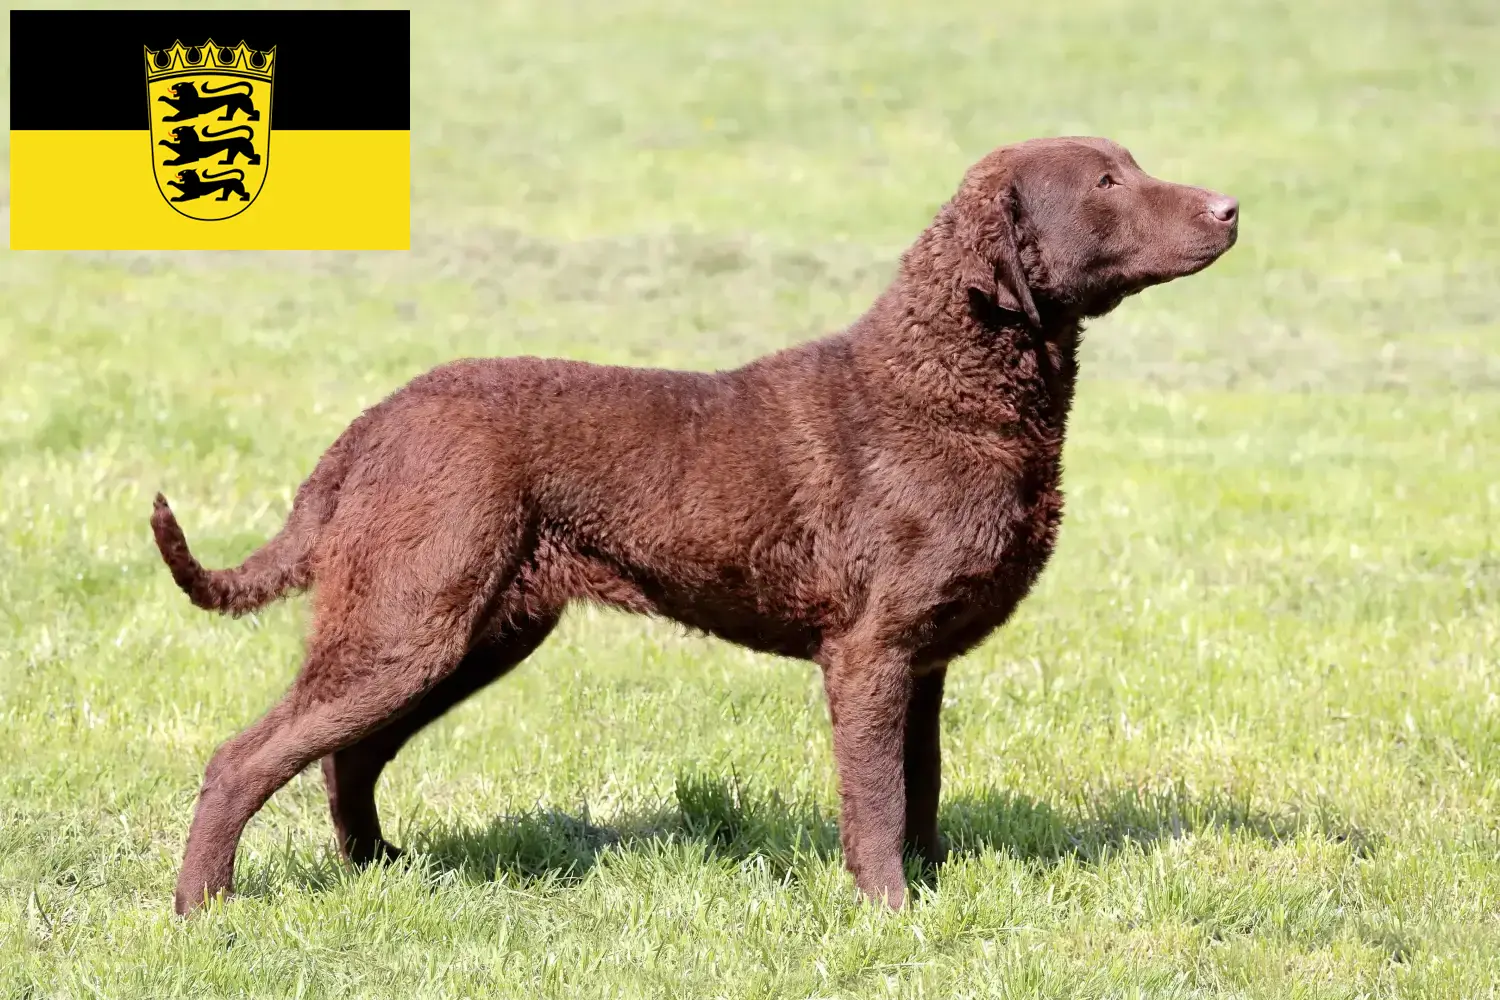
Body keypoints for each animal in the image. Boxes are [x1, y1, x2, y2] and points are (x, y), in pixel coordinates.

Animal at [152, 134, 1236, 917]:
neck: (946, 389)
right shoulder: (870, 650)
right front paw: (891, 912)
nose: (1231, 206)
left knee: (348, 754)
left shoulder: (923, 657)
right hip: (410, 620)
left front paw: (934, 889)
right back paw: (206, 907)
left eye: (1132, 163)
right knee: (247, 757)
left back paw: (382, 868)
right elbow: (877, 799)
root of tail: (370, 425)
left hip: (471, 629)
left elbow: (922, 786)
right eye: (1107, 181)